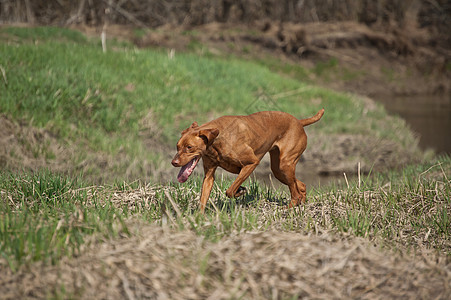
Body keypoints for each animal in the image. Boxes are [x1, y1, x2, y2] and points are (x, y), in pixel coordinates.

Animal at [172, 109, 324, 212]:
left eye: (189, 147)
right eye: (177, 146)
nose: (174, 162)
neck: (217, 139)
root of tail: (299, 122)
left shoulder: (252, 163)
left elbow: (230, 191)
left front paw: (240, 191)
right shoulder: (209, 175)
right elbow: (203, 198)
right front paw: (199, 218)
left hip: (285, 165)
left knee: (295, 191)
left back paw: (290, 207)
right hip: (278, 170)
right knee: (300, 185)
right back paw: (301, 203)